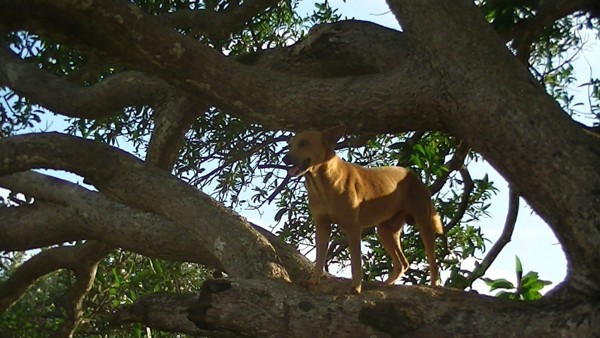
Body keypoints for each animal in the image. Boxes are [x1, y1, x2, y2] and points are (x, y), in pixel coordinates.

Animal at [284, 125, 442, 294]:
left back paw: (434, 285)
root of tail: (413, 175)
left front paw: (356, 287)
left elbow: (355, 262)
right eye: (289, 145)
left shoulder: (353, 227)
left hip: (423, 222)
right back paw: (386, 284)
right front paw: (313, 281)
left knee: (433, 261)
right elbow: (319, 257)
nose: (285, 158)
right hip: (384, 230)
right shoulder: (322, 226)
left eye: (304, 143)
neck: (321, 184)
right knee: (402, 263)